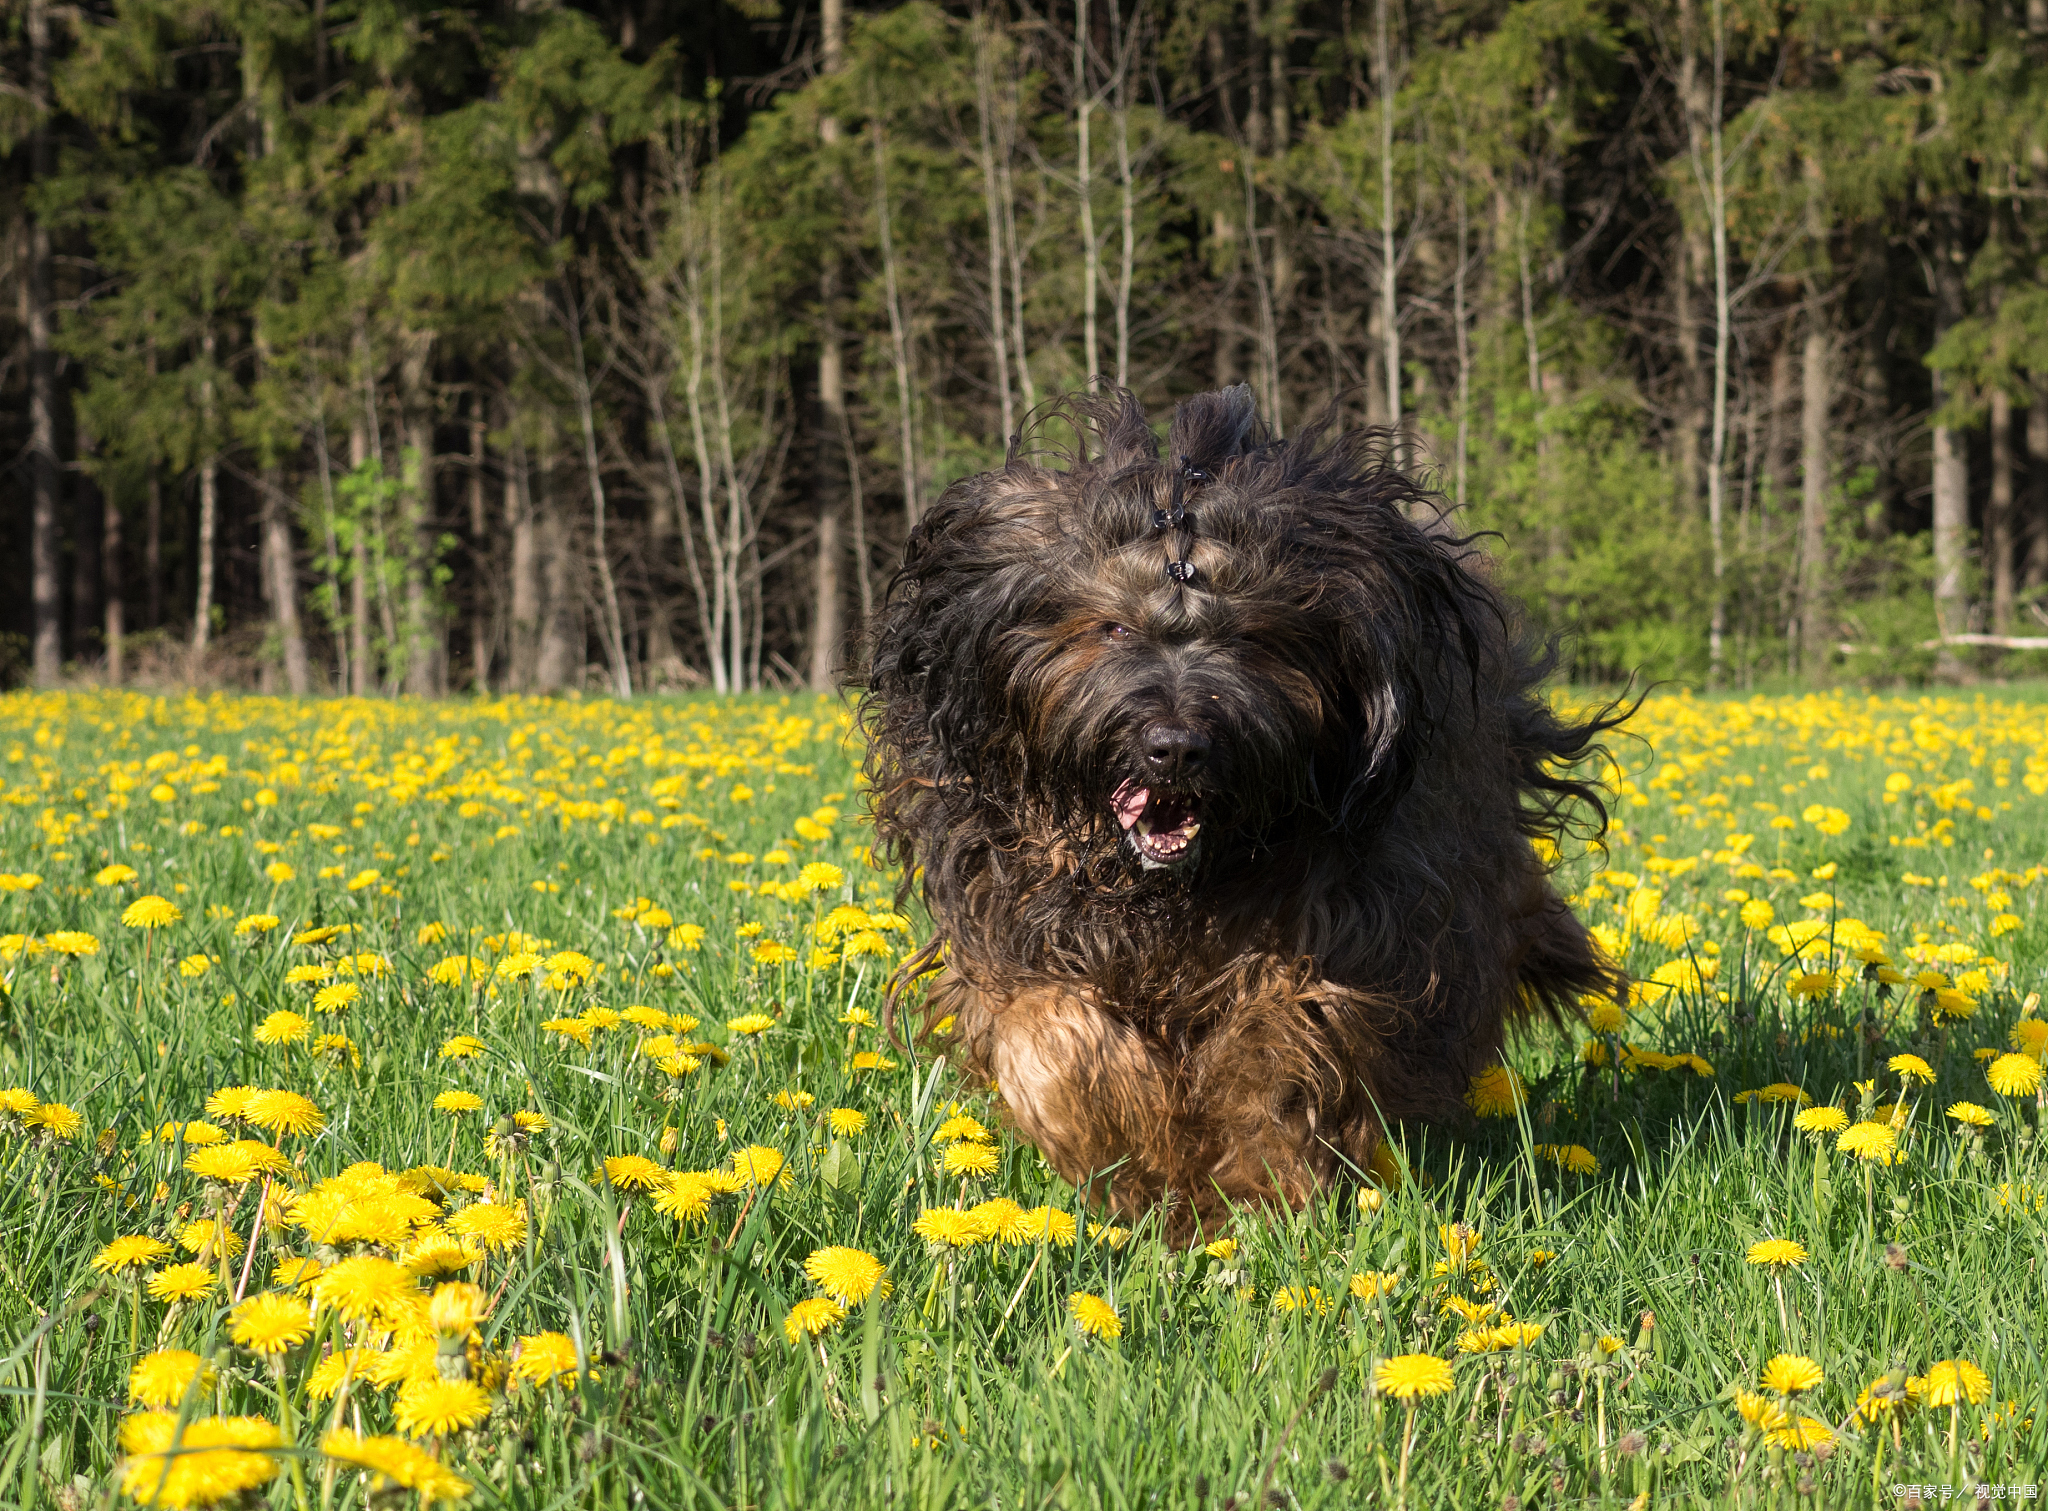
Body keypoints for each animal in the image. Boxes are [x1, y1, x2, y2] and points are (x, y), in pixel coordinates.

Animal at [856, 378, 1622, 1236]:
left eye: (1253, 638)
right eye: (1110, 627)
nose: (1175, 745)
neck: (1170, 889)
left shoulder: (1349, 919)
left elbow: (1279, 1044)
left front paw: (1250, 1189)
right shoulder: (1012, 918)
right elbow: (1051, 1034)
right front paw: (1131, 1156)